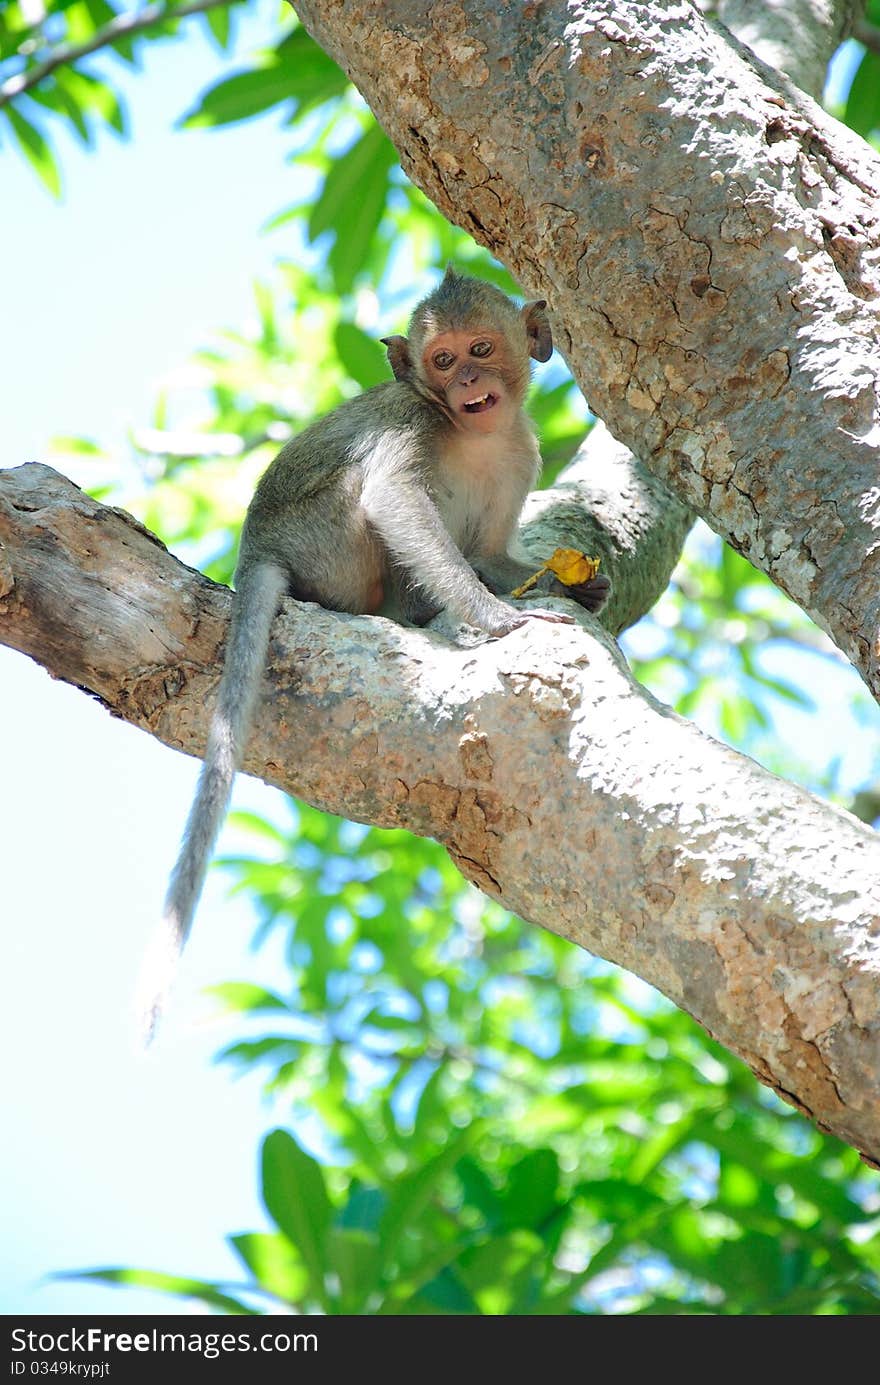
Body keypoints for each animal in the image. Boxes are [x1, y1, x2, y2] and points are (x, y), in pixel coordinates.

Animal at [146, 267, 612, 1041]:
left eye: (481, 348)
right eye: (442, 361)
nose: (468, 382)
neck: (472, 433)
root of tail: (256, 548)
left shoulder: (522, 450)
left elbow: (492, 552)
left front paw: (580, 584)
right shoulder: (412, 423)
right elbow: (394, 500)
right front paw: (495, 615)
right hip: (322, 537)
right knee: (362, 493)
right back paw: (408, 611)